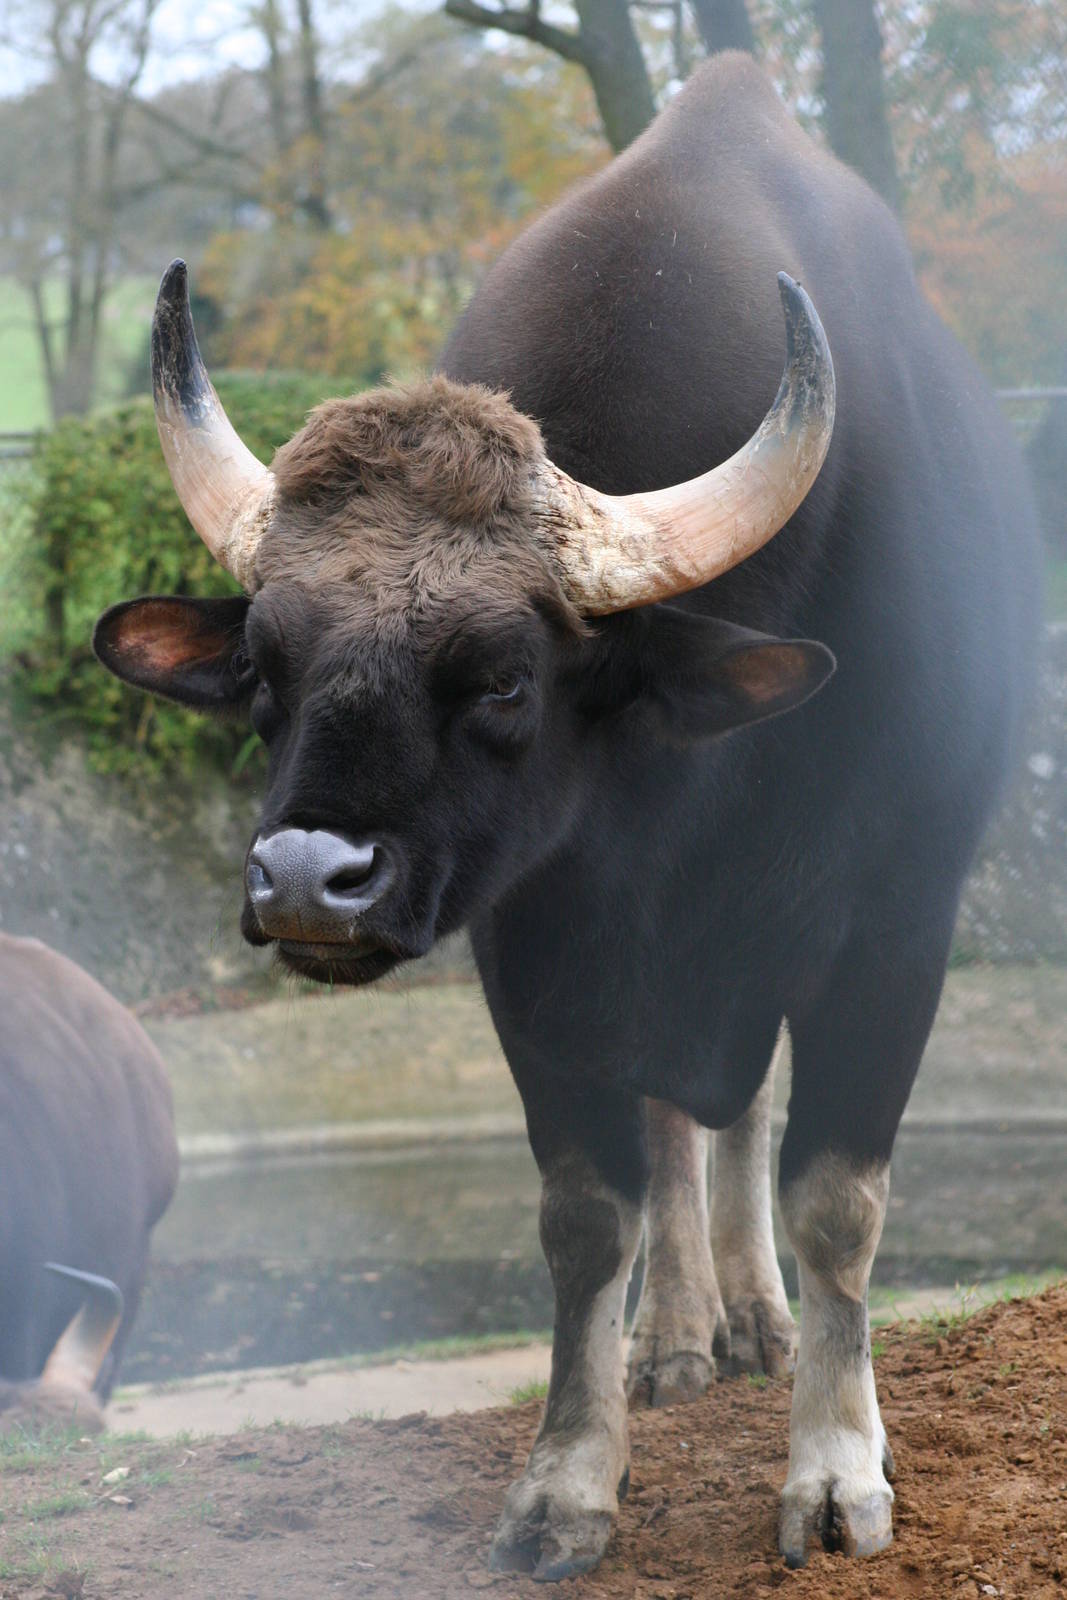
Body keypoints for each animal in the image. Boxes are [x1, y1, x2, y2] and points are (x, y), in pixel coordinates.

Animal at [92, 52, 1039, 1576]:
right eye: (268, 669)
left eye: (505, 676)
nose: (303, 879)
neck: (679, 802)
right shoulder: (533, 947)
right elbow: (588, 1213)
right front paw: (567, 1477)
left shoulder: (896, 928)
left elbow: (833, 1199)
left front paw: (835, 1467)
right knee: (677, 1126)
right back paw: (680, 1335)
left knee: (743, 1121)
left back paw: (757, 1320)